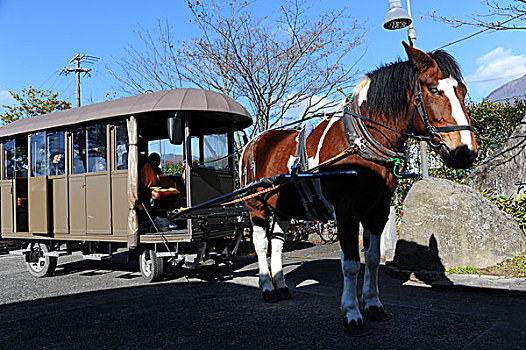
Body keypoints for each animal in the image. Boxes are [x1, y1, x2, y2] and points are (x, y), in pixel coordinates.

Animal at [239, 42, 478, 338]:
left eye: (463, 91)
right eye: (435, 90)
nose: (466, 152)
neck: (361, 142)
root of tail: (253, 142)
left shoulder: (379, 209)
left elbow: (373, 259)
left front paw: (374, 305)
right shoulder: (346, 212)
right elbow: (351, 264)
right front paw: (353, 313)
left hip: (283, 206)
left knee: (278, 243)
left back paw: (281, 285)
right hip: (256, 206)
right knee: (262, 244)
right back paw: (267, 287)